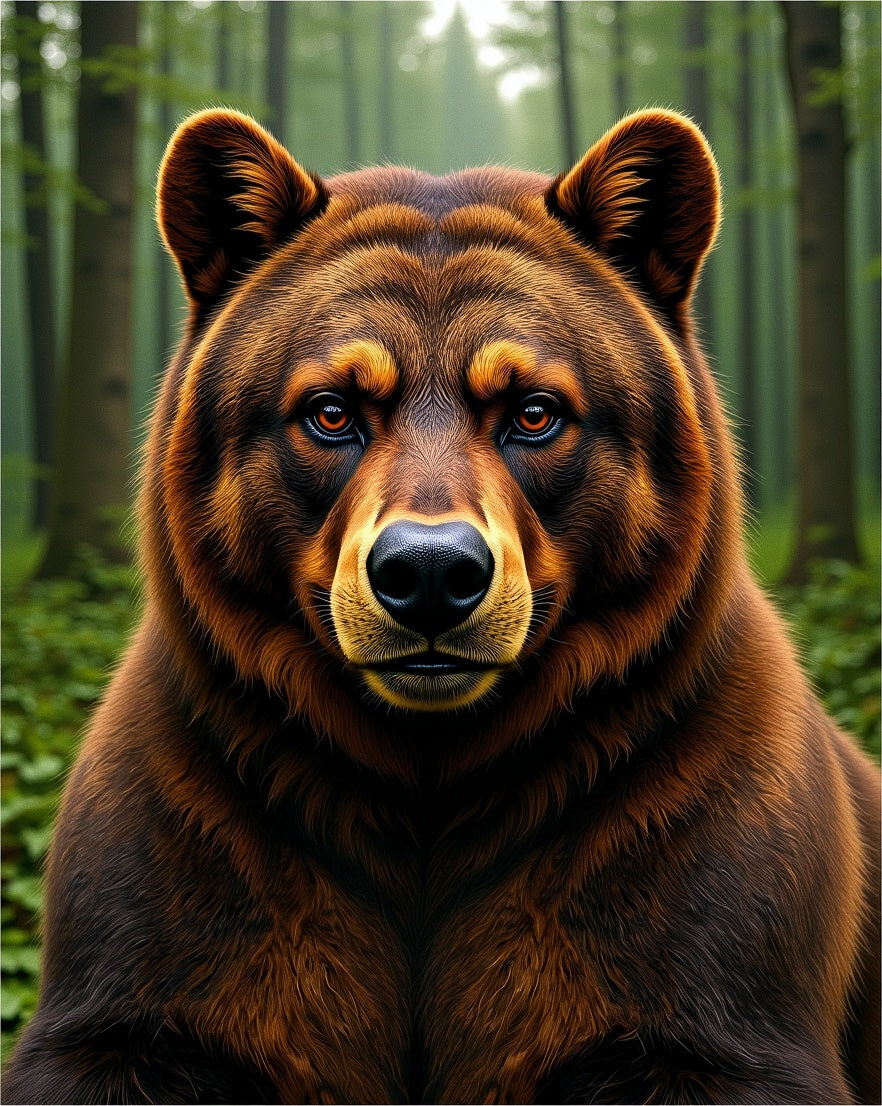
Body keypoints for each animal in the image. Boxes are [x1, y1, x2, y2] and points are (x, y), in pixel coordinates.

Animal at [5, 108, 879, 1105]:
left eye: (534, 411)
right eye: (332, 410)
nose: (429, 571)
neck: (430, 779)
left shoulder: (705, 911)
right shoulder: (177, 870)